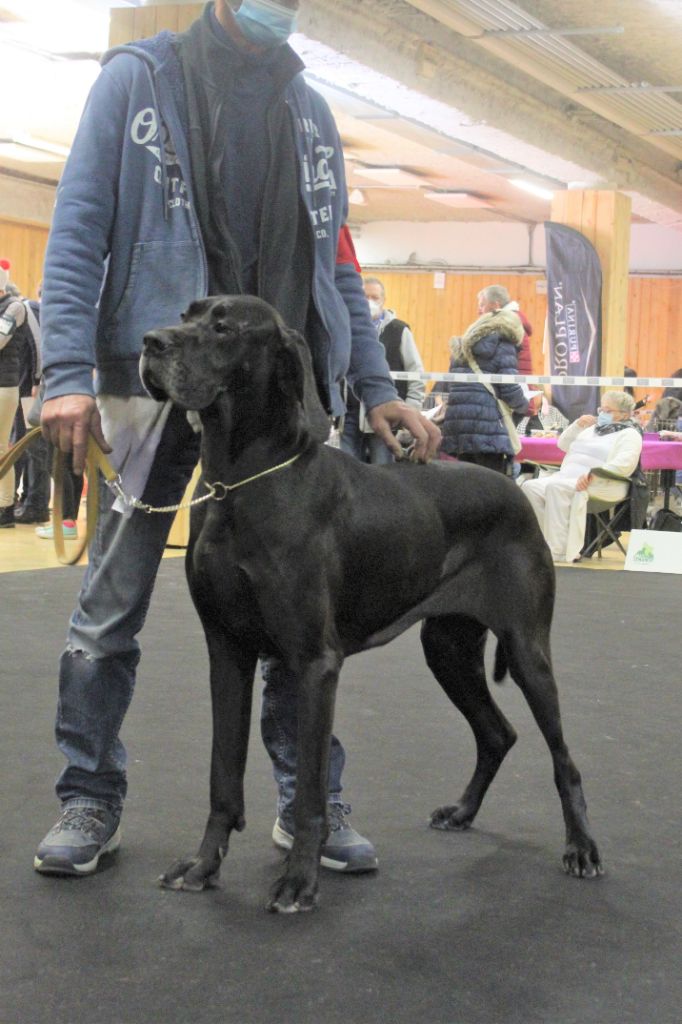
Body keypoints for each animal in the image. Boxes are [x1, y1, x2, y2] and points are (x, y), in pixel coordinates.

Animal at [139, 292, 602, 909]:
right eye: (186, 315)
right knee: (496, 733)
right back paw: (462, 811)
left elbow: (310, 790)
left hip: (527, 649)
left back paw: (581, 848)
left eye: (224, 327)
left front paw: (299, 880)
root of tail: (515, 489)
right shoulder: (227, 650)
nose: (151, 342)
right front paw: (203, 863)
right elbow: (223, 774)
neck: (238, 478)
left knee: (563, 759)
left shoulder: (314, 662)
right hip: (447, 648)